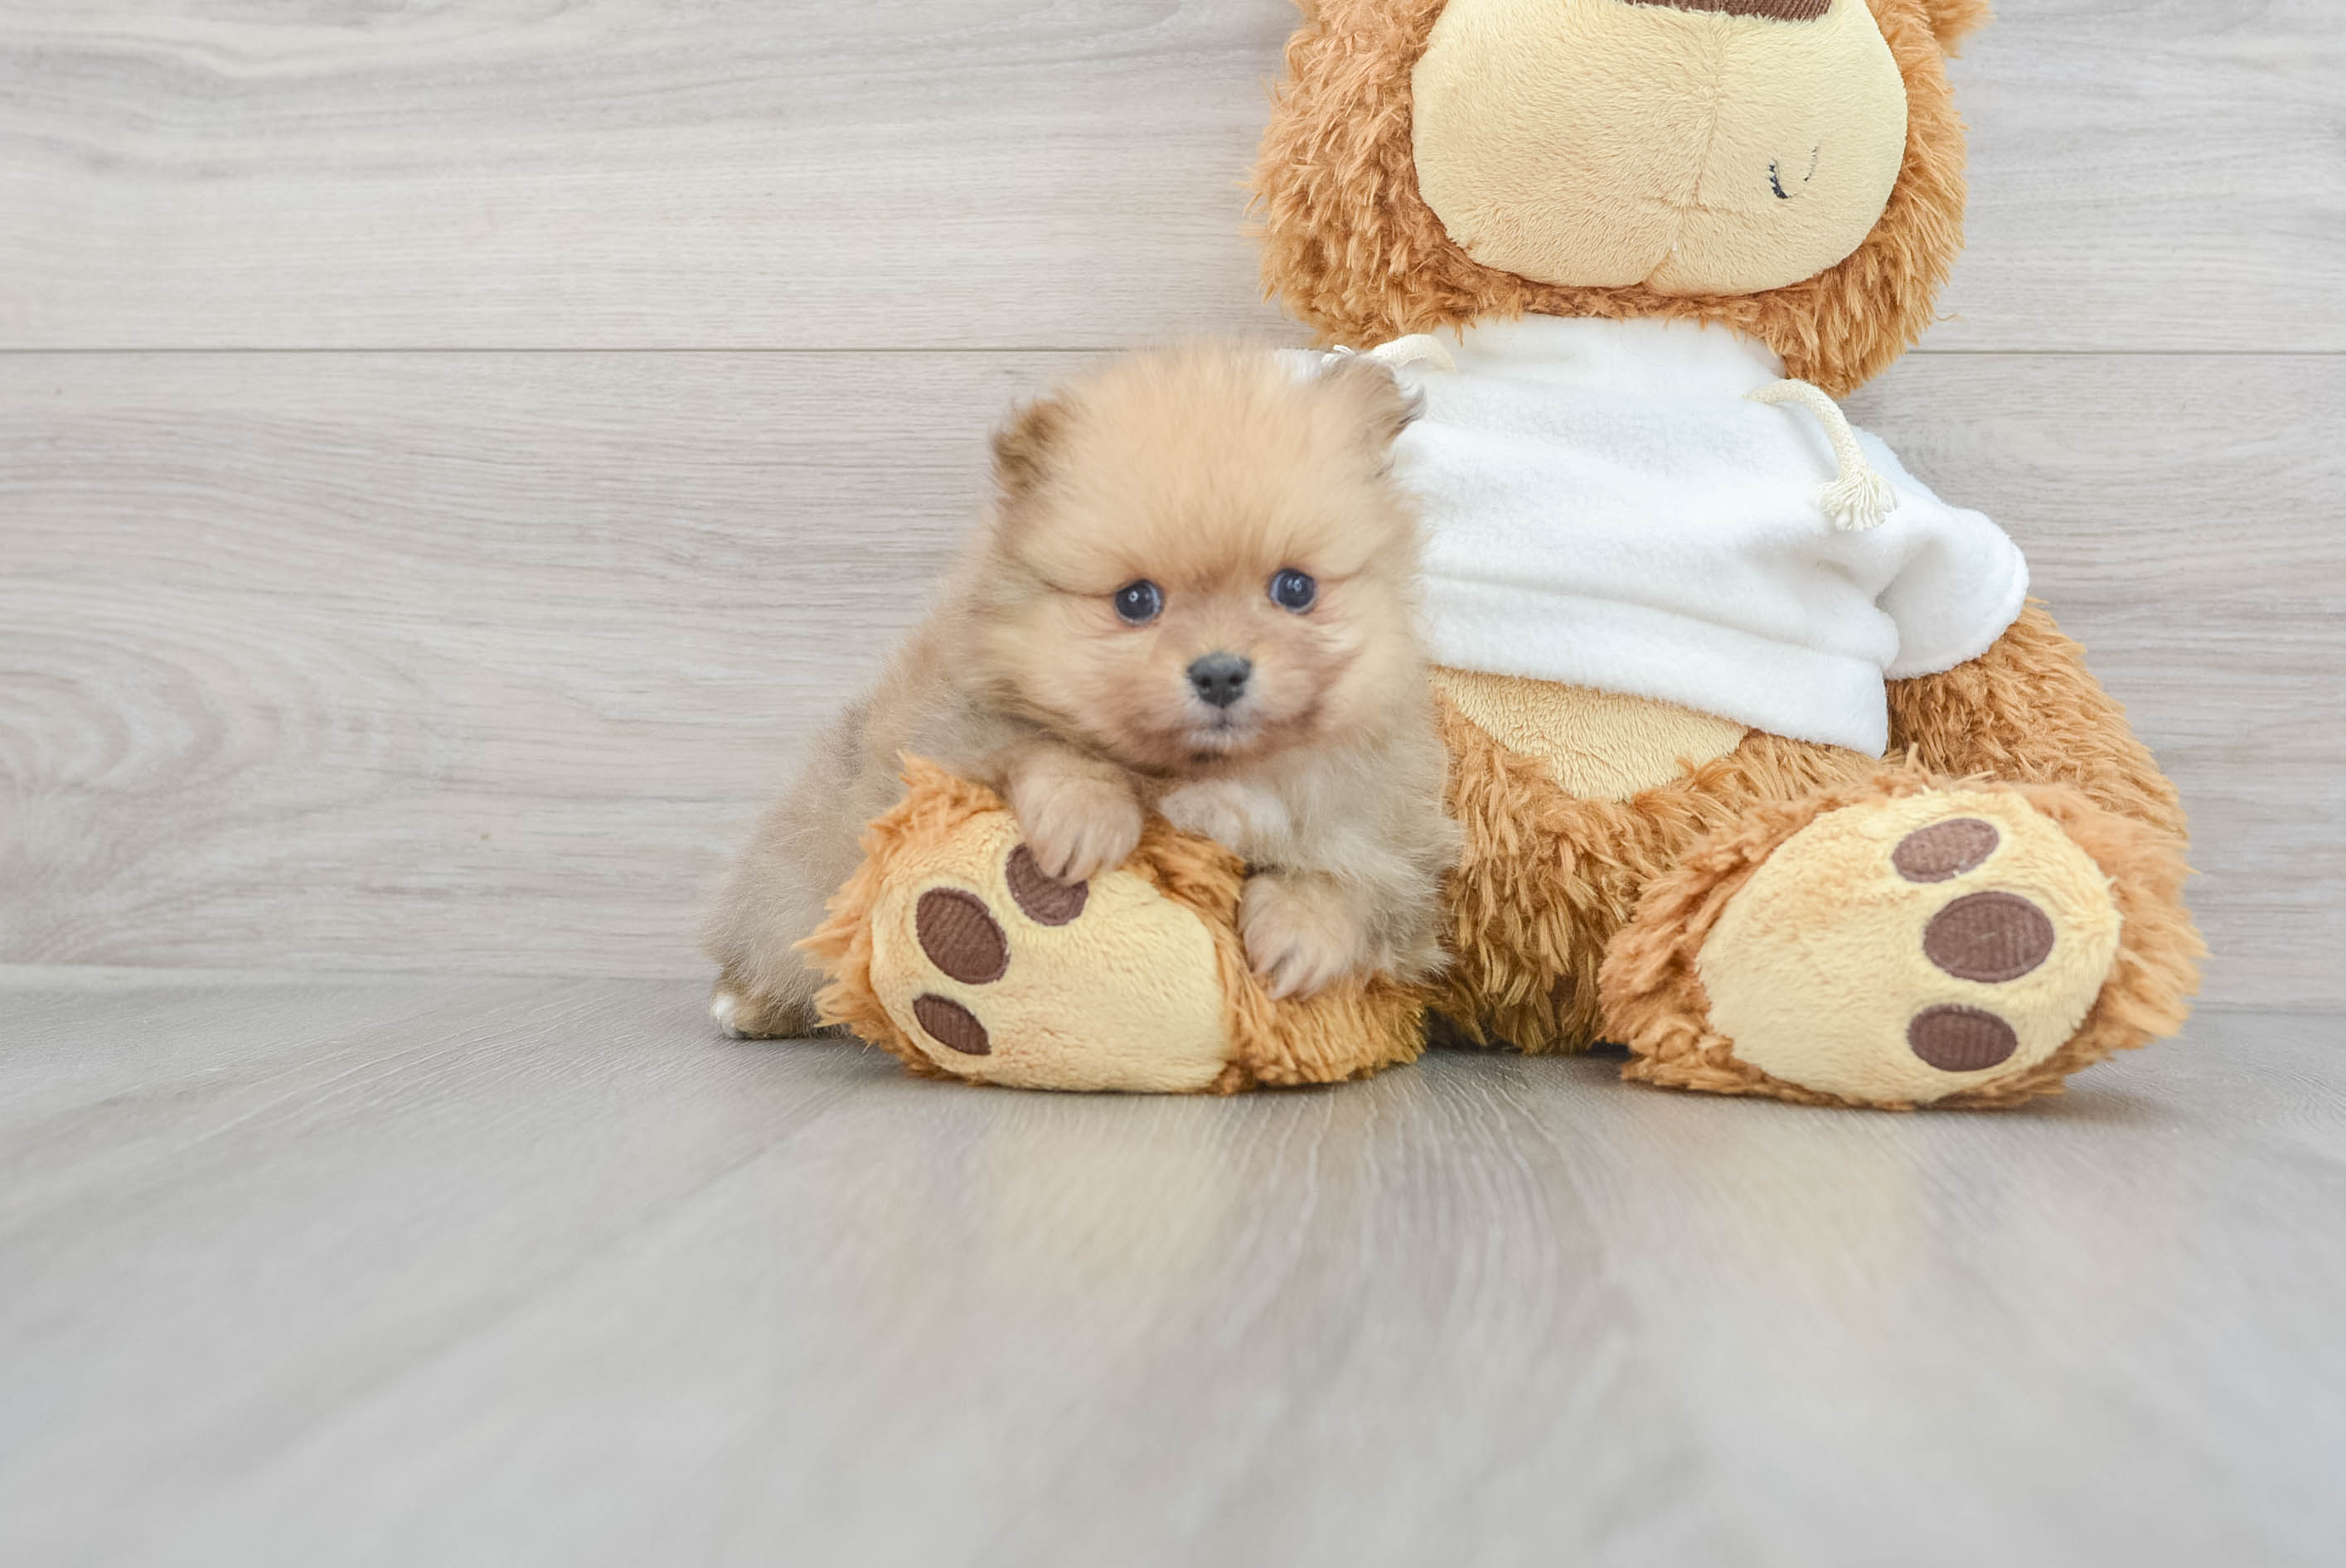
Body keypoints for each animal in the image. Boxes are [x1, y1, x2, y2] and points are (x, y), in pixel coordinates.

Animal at [704, 341, 1454, 1040]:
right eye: (1136, 601)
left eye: (1294, 589)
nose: (1219, 672)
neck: (1196, 773)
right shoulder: (950, 736)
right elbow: (1044, 747)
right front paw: (1088, 818)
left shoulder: (1392, 832)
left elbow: (1356, 884)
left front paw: (1300, 934)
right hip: (794, 888)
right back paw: (745, 1005)